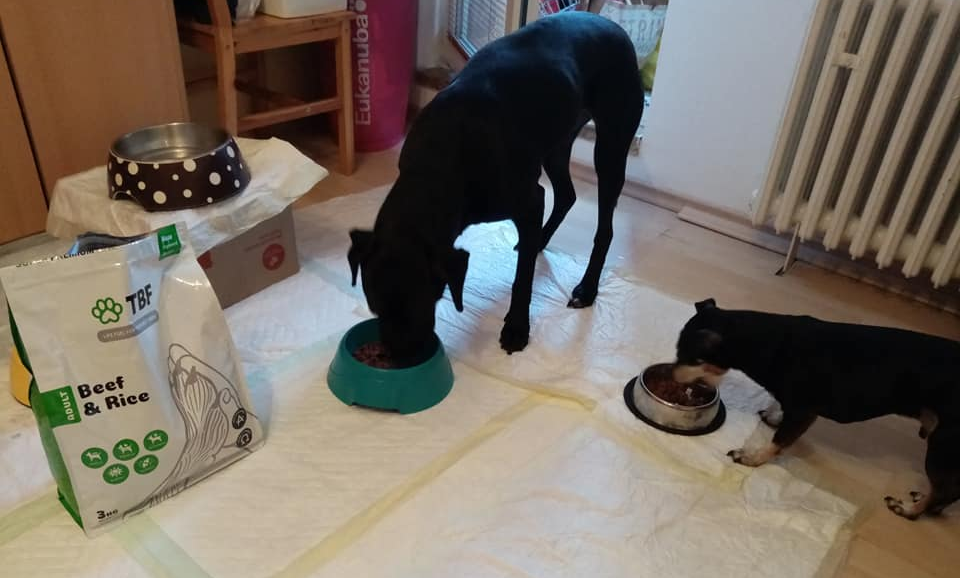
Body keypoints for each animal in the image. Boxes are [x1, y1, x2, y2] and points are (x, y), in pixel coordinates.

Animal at [347, 12, 644, 365]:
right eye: (375, 308)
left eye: (420, 305)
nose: (401, 360)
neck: (438, 163)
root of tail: (614, 26)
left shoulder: (527, 201)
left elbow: (523, 279)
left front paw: (516, 328)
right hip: (556, 141)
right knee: (566, 195)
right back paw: (539, 240)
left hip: (611, 144)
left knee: (604, 227)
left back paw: (587, 288)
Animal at [672, 298, 960, 519]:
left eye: (691, 359)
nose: (671, 374)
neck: (768, 343)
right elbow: (781, 418)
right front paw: (774, 416)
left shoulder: (803, 410)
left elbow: (778, 441)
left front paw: (752, 458)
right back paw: (922, 500)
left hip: (943, 443)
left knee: (944, 489)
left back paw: (910, 509)